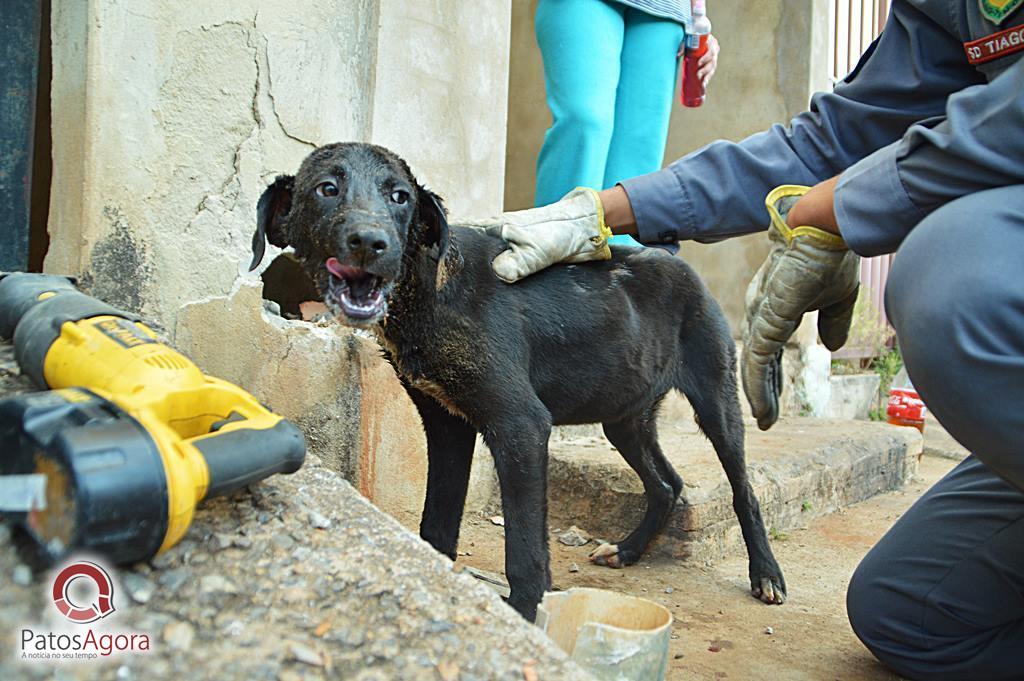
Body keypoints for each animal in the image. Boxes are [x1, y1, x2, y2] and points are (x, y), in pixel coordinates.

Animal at [251, 140, 786, 618]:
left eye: (399, 196)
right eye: (326, 189)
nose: (371, 243)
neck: (428, 288)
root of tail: (684, 268)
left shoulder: (521, 425)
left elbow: (525, 547)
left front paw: (527, 612)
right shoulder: (446, 423)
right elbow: (436, 524)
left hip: (715, 398)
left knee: (743, 489)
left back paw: (766, 574)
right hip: (624, 415)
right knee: (667, 484)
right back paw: (628, 550)